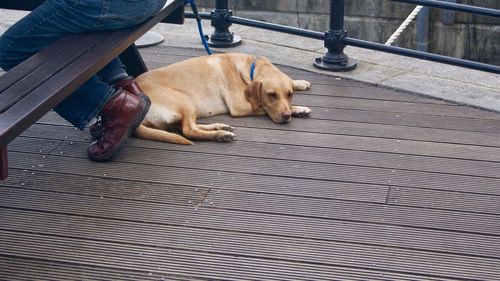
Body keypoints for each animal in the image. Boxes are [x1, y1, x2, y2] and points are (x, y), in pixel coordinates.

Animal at [135, 53, 310, 144]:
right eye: (271, 95)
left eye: (289, 94)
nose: (286, 116)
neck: (250, 69)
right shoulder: (240, 106)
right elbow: (263, 106)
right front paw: (298, 108)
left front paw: (300, 83)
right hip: (185, 101)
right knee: (189, 131)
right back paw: (220, 135)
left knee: (185, 127)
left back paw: (221, 128)